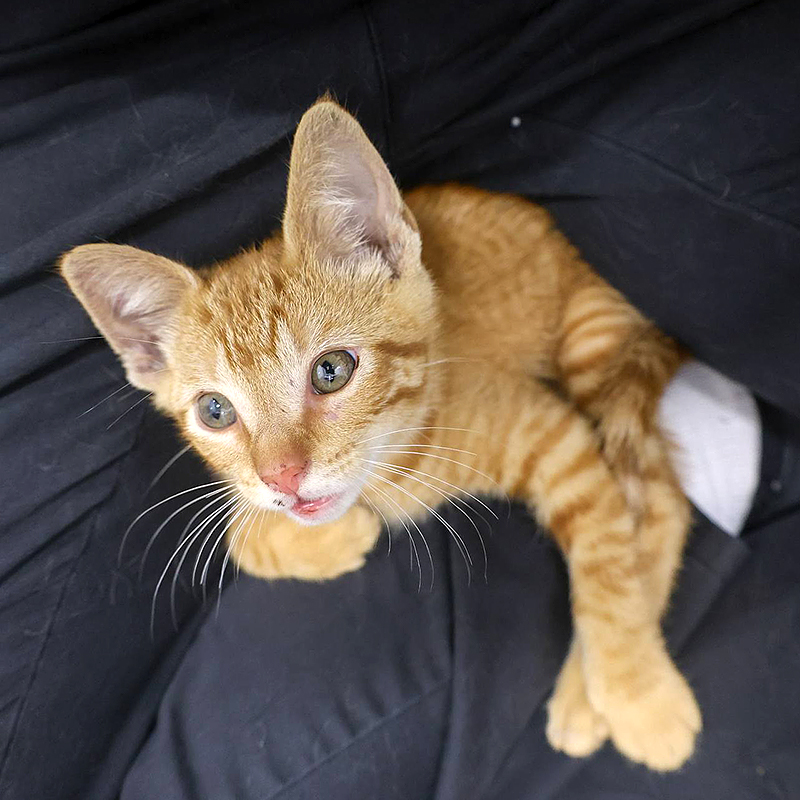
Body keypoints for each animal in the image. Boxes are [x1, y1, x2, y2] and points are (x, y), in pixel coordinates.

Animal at [61, 97, 700, 772]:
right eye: (215, 412)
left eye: (331, 370)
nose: (283, 478)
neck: (393, 464)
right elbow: (239, 532)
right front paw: (333, 537)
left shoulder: (557, 438)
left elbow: (607, 562)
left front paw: (639, 698)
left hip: (589, 340)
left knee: (659, 492)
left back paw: (591, 696)